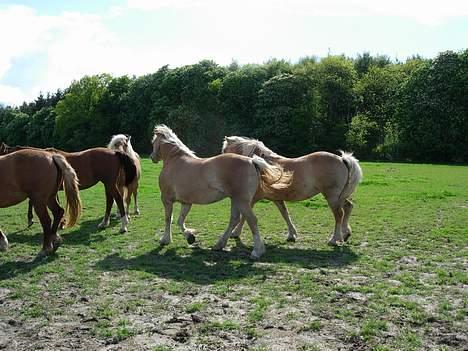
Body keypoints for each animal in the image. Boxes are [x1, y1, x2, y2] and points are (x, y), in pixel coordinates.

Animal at [0, 143, 137, 234]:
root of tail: (114, 152)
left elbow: (31, 202)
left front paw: (31, 219)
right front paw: (61, 223)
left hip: (109, 183)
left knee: (118, 199)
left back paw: (123, 225)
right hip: (108, 184)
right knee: (110, 200)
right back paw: (104, 223)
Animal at [150, 125, 290, 260]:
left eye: (153, 141)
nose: (152, 157)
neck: (175, 160)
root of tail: (252, 161)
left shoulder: (167, 199)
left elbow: (169, 219)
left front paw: (165, 240)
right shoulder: (186, 202)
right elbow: (180, 220)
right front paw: (190, 237)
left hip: (242, 202)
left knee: (252, 220)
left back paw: (256, 252)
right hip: (235, 200)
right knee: (234, 219)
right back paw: (219, 245)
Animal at [222, 136, 362, 246]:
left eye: (224, 150)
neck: (260, 165)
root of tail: (342, 159)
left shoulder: (252, 199)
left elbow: (244, 216)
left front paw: (235, 233)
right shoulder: (277, 198)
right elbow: (285, 214)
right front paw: (292, 234)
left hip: (332, 197)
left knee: (339, 214)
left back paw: (334, 239)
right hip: (340, 196)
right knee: (348, 207)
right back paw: (345, 234)